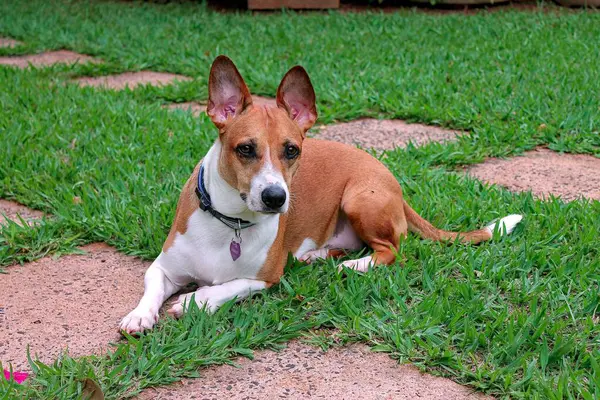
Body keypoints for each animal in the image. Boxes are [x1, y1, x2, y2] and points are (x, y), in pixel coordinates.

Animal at [119, 54, 524, 332]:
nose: (275, 198)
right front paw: (140, 315)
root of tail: (389, 176)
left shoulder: (263, 279)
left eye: (292, 150)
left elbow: (221, 288)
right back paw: (318, 255)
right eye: (245, 149)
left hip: (360, 198)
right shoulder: (164, 267)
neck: (230, 222)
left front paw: (191, 301)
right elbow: (152, 287)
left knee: (392, 250)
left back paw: (355, 265)